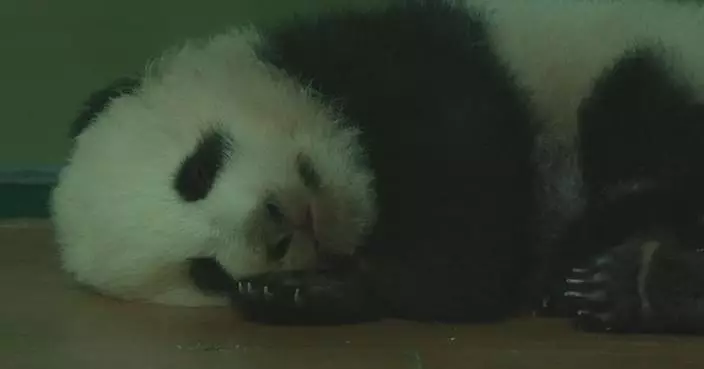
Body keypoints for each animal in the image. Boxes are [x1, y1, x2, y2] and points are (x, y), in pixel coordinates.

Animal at [52, 0, 704, 334]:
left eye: (196, 170)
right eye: (205, 272)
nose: (277, 223)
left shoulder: (409, 55)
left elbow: (469, 201)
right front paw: (295, 294)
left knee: (636, 110)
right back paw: (631, 280)